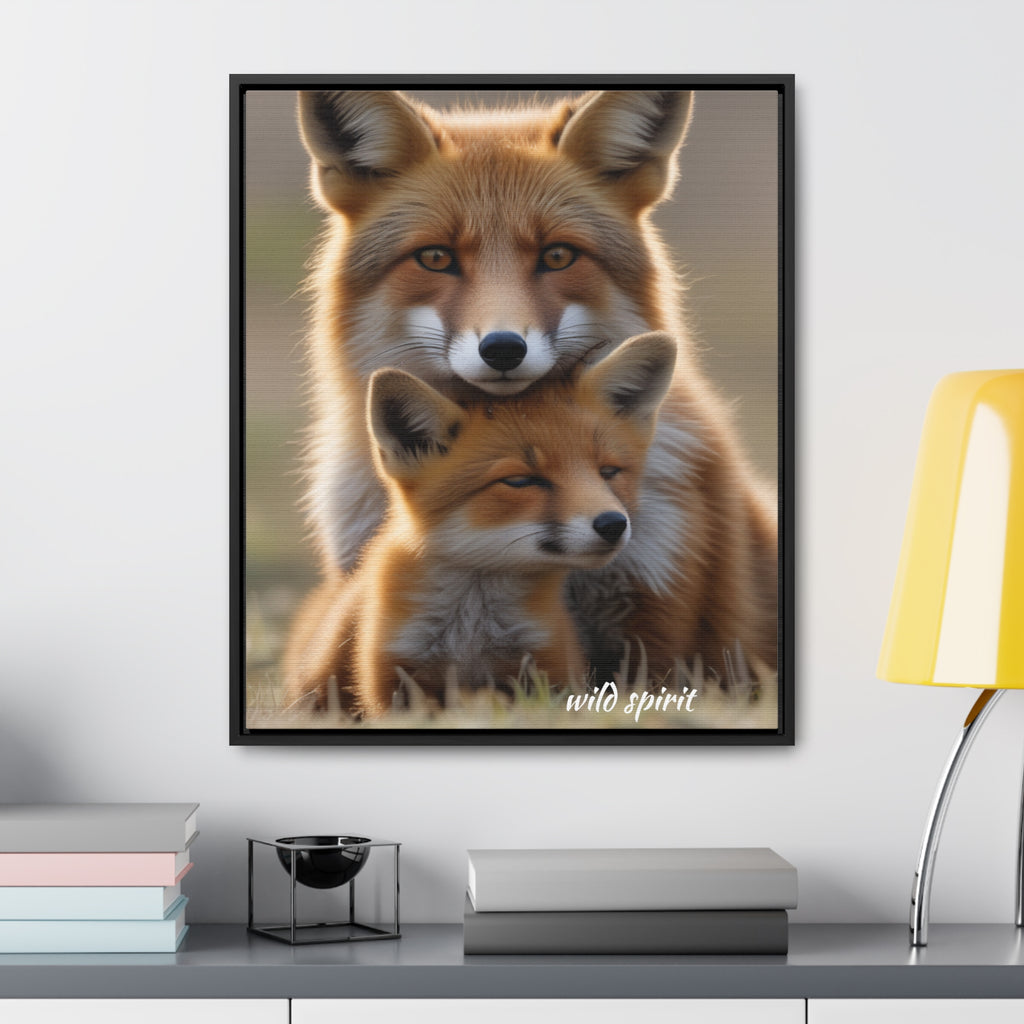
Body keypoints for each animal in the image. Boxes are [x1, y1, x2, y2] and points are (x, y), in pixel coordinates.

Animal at [283, 332, 676, 716]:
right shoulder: (393, 679)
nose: (613, 524)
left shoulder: (549, 669)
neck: (471, 632)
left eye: (608, 472)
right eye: (520, 481)